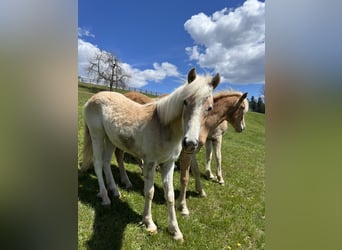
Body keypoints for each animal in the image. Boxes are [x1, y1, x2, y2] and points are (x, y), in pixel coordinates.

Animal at [80, 68, 219, 240]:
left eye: (210, 108)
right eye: (185, 102)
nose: (190, 143)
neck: (163, 127)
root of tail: (93, 98)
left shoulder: (168, 164)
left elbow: (170, 195)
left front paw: (175, 231)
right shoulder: (150, 163)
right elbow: (149, 192)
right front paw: (149, 223)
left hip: (111, 139)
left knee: (106, 162)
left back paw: (115, 191)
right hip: (97, 135)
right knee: (98, 163)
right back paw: (105, 197)